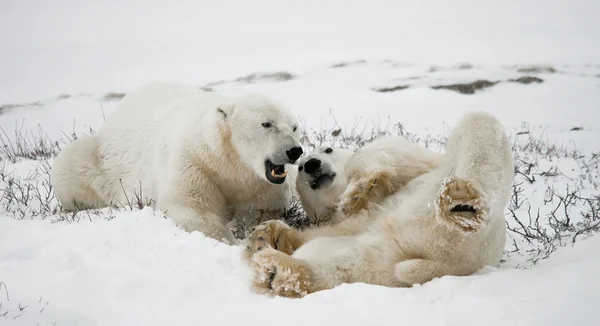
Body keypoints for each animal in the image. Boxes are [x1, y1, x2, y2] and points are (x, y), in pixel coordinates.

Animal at [50, 81, 304, 244]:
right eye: (266, 124)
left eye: (294, 127)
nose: (294, 150)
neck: (228, 161)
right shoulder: (194, 161)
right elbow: (191, 208)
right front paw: (226, 239)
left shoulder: (258, 185)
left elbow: (259, 210)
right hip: (101, 161)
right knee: (71, 163)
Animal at [241, 112, 512, 298]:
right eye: (299, 167)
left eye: (328, 149)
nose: (311, 164)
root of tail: (449, 265)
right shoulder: (347, 223)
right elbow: (322, 235)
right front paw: (264, 235)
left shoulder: (417, 167)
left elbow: (384, 152)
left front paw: (359, 190)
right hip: (395, 251)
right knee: (346, 265)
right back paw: (276, 272)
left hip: (443, 210)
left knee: (479, 121)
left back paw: (461, 203)